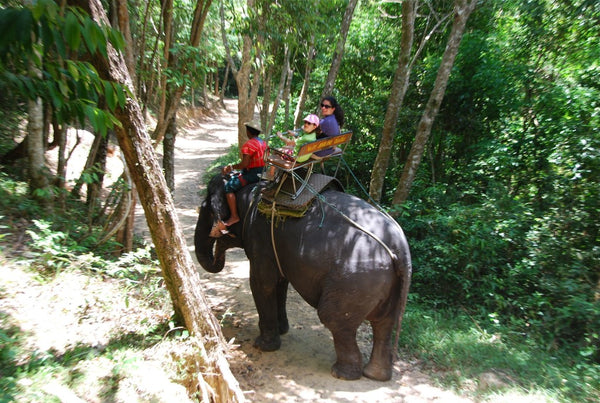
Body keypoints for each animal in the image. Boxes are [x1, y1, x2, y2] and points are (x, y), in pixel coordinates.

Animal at [195, 174, 410, 382]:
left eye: (205, 210)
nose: (221, 238)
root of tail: (400, 246)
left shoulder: (259, 236)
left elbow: (262, 283)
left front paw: (263, 346)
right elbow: (280, 283)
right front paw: (283, 330)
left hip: (354, 280)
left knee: (334, 319)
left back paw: (342, 374)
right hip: (385, 285)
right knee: (384, 323)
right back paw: (376, 375)